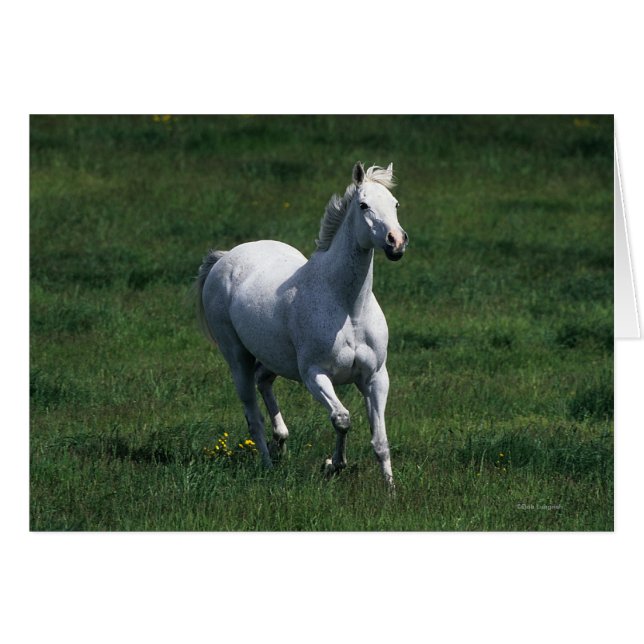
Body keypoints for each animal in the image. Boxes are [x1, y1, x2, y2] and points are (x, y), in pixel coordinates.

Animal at [196, 162, 408, 488]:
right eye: (363, 205)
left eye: (395, 204)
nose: (396, 242)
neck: (348, 308)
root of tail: (224, 257)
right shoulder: (314, 374)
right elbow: (342, 419)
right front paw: (334, 465)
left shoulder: (375, 378)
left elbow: (380, 441)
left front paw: (390, 488)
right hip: (237, 357)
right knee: (252, 415)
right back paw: (268, 464)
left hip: (274, 358)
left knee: (263, 382)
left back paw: (280, 442)